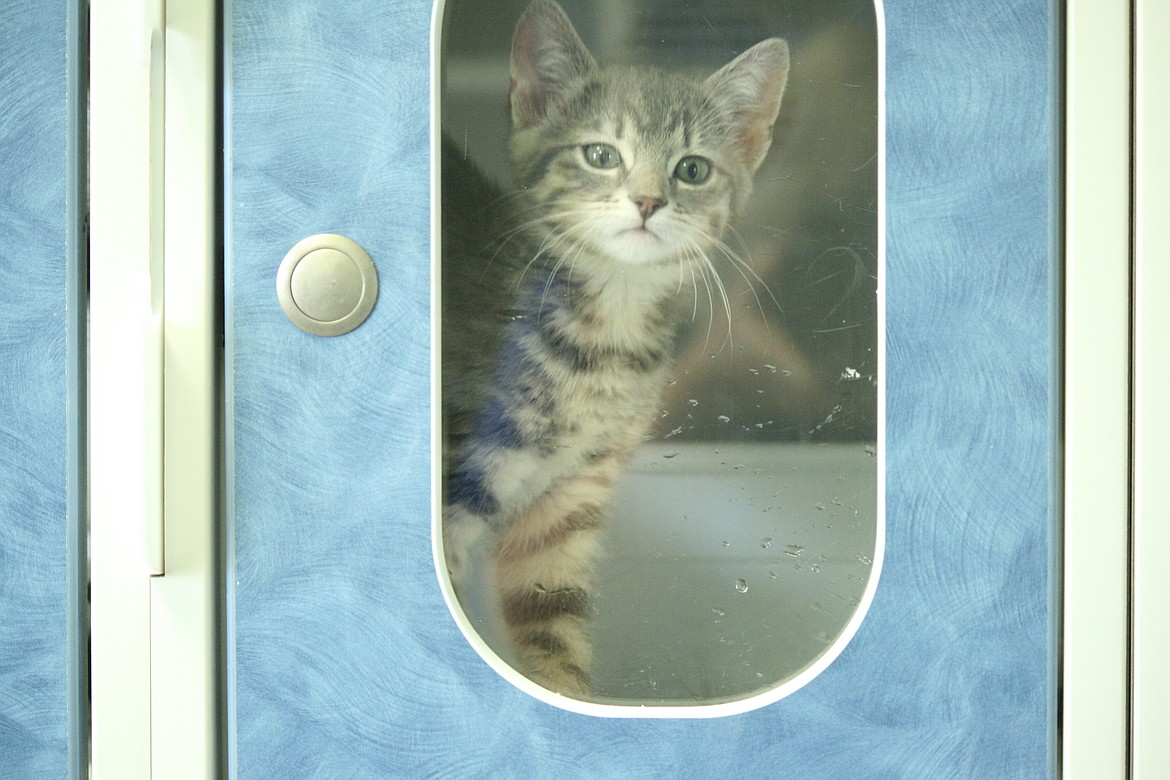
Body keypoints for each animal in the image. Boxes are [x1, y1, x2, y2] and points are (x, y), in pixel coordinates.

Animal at [442, 0, 790, 696]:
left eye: (692, 168)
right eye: (601, 154)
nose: (648, 200)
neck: (605, 338)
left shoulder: (565, 507)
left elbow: (553, 631)